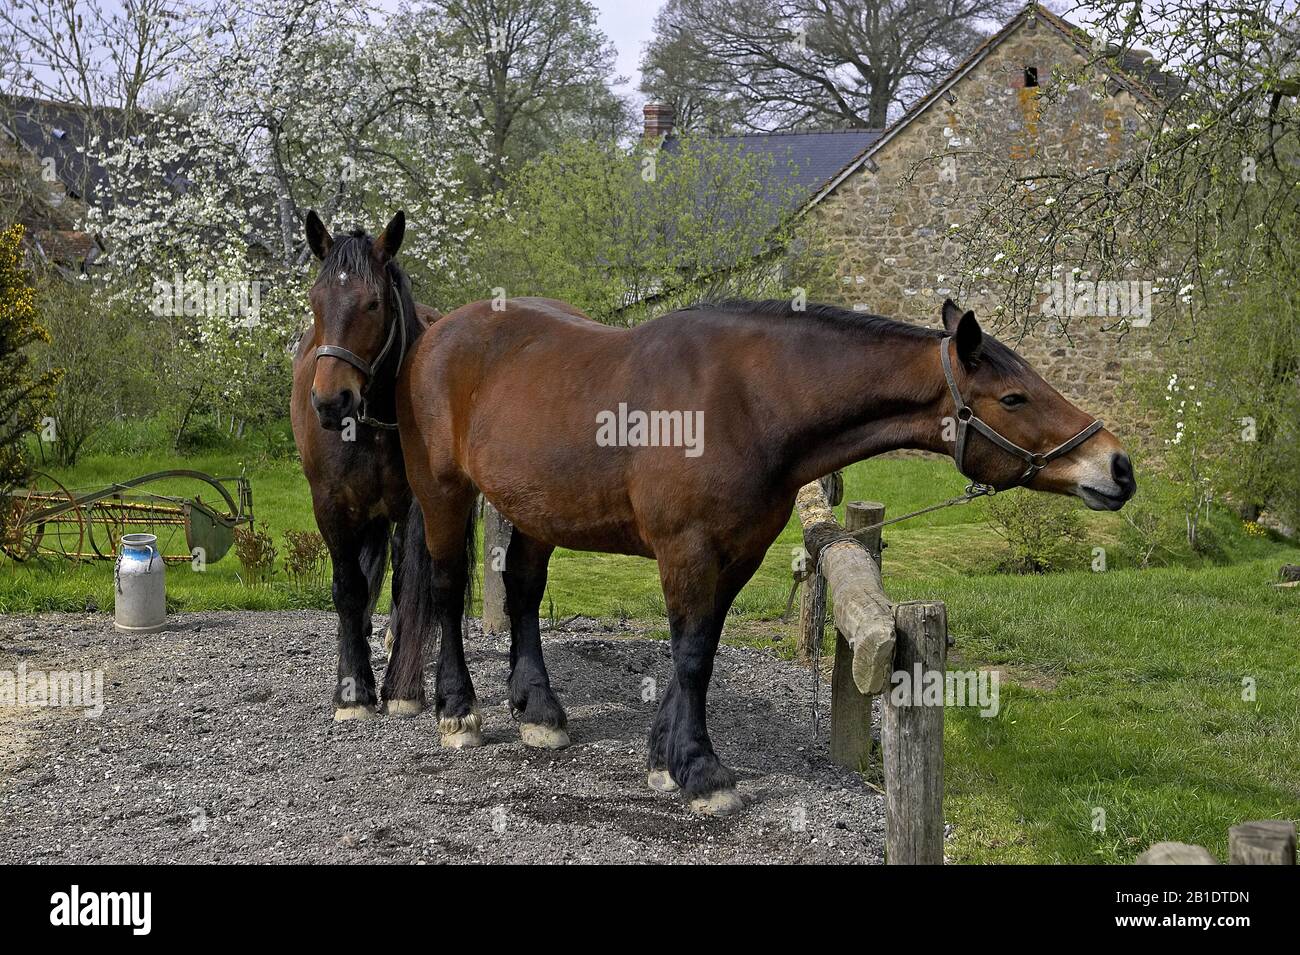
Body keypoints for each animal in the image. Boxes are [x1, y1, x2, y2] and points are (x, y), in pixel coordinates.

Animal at [289, 209, 441, 717]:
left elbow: (406, 584)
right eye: (316, 302)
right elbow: (348, 588)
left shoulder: (410, 507)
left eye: (373, 304)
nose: (330, 401)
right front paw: (352, 686)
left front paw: (401, 687)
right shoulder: (330, 505)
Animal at [384, 297, 1138, 815]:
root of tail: (438, 333)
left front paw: (665, 758)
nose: (1119, 467)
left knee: (522, 594)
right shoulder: (687, 550)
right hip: (444, 491)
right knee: (447, 591)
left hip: (535, 509)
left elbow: (700, 653)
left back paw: (539, 712)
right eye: (1013, 396)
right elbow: (690, 655)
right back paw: (459, 711)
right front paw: (701, 772)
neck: (745, 402)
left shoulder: (737, 554)